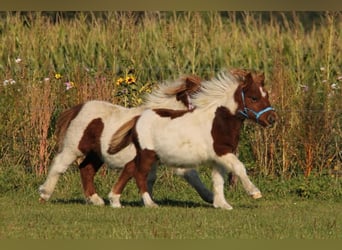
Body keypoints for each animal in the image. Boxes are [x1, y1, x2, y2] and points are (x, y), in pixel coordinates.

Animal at [38, 75, 214, 205]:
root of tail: (78, 109)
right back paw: (45, 194)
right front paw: (211, 197)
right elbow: (187, 173)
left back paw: (96, 200)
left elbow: (152, 178)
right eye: (197, 94)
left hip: (97, 154)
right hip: (74, 148)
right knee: (60, 165)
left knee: (86, 169)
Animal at [108, 70, 276, 209]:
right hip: (147, 154)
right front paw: (254, 192)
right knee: (139, 174)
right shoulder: (222, 152)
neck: (219, 121)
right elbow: (239, 167)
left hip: (148, 155)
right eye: (254, 98)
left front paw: (221, 204)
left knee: (129, 167)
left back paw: (115, 200)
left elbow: (218, 179)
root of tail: (138, 118)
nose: (272, 119)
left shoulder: (218, 157)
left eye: (267, 96)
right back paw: (149, 203)